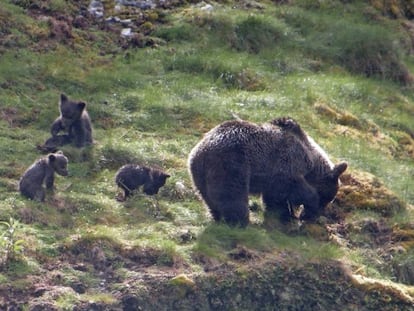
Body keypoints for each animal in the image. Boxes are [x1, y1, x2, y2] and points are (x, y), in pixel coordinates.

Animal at [189, 117, 348, 227]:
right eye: (326, 198)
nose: (311, 216)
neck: (310, 159)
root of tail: (202, 151)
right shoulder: (286, 162)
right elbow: (292, 185)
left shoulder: (273, 177)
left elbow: (275, 197)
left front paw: (282, 214)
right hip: (232, 164)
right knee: (232, 194)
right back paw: (240, 221)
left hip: (199, 174)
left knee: (209, 198)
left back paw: (217, 216)